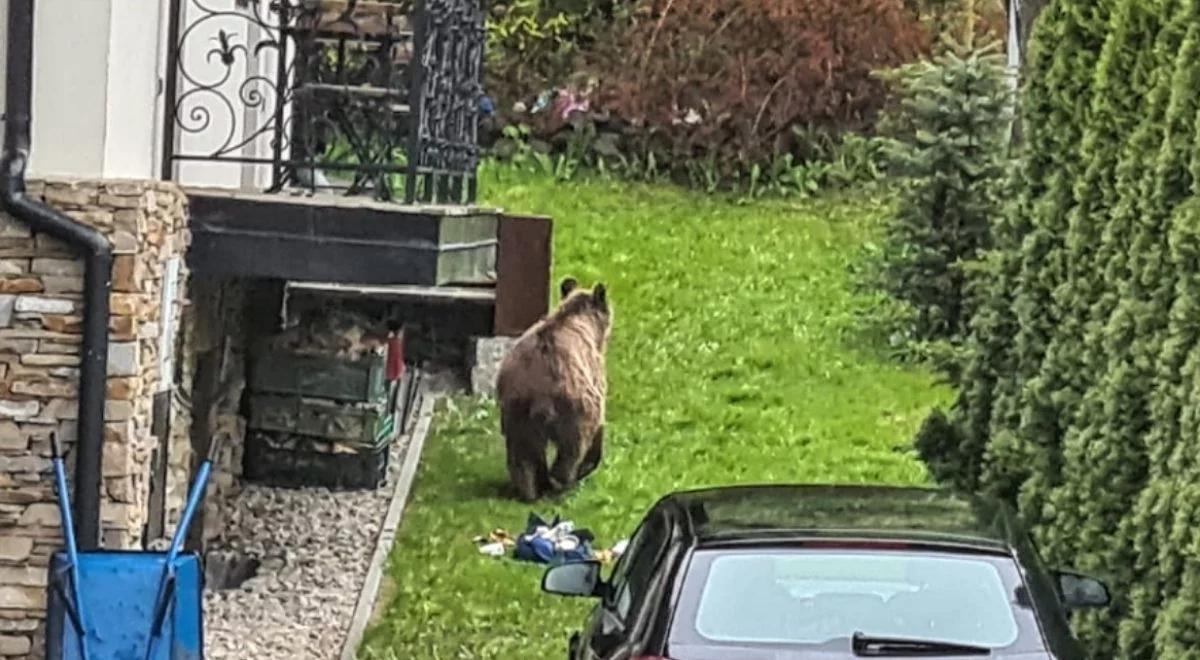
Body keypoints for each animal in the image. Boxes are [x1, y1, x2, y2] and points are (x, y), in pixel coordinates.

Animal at [494, 278, 609, 501]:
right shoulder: (593, 376)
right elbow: (598, 421)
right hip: (571, 407)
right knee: (571, 449)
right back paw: (563, 481)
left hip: (517, 410)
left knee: (523, 455)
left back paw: (530, 489)